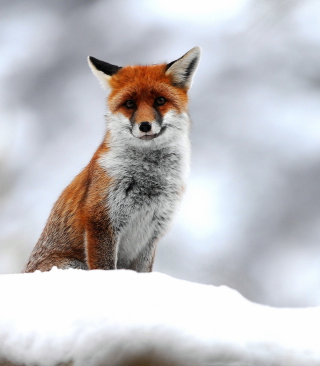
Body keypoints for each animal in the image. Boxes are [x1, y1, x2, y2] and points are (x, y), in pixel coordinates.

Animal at [24, 47, 200, 274]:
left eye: (160, 101)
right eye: (129, 104)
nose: (145, 125)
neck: (149, 180)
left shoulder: (152, 233)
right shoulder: (101, 221)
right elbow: (105, 268)